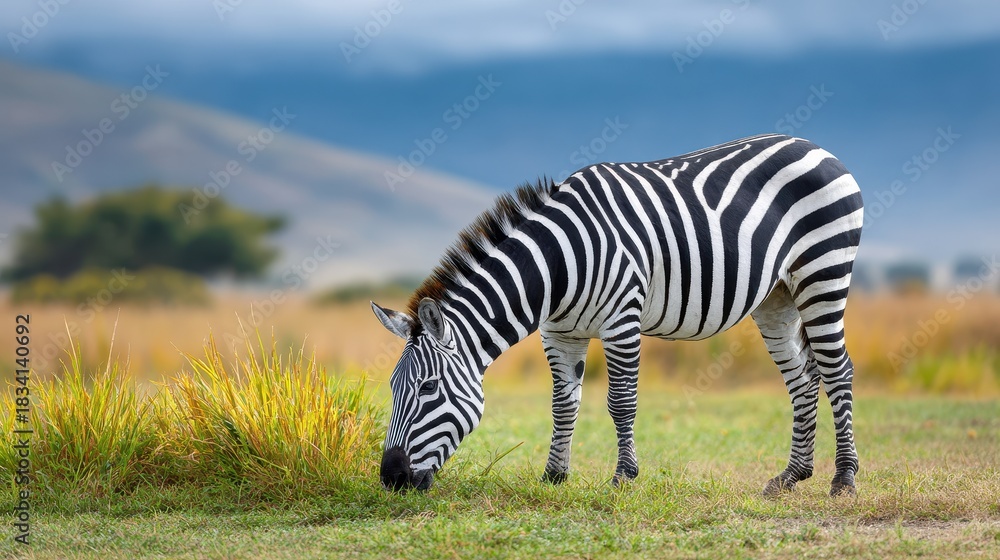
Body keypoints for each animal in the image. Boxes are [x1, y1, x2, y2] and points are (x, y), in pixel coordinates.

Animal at [373, 133, 862, 497]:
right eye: (393, 388)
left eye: (429, 388)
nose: (391, 478)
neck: (557, 267)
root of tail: (816, 146)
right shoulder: (559, 333)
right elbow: (563, 404)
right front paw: (554, 476)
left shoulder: (621, 322)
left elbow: (620, 402)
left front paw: (623, 478)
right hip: (776, 297)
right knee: (803, 379)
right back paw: (791, 476)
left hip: (822, 275)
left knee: (837, 372)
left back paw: (843, 479)